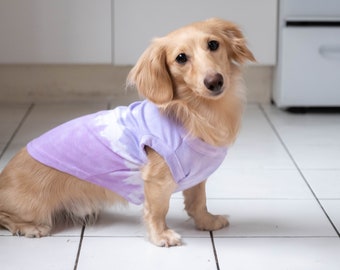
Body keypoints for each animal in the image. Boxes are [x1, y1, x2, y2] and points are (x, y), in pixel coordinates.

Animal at [0, 18, 255, 247]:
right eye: (181, 58)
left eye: (213, 44)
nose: (214, 81)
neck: (193, 113)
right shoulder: (157, 180)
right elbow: (157, 210)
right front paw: (161, 236)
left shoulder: (197, 177)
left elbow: (198, 202)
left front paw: (208, 221)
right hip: (32, 207)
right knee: (5, 216)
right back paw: (29, 228)